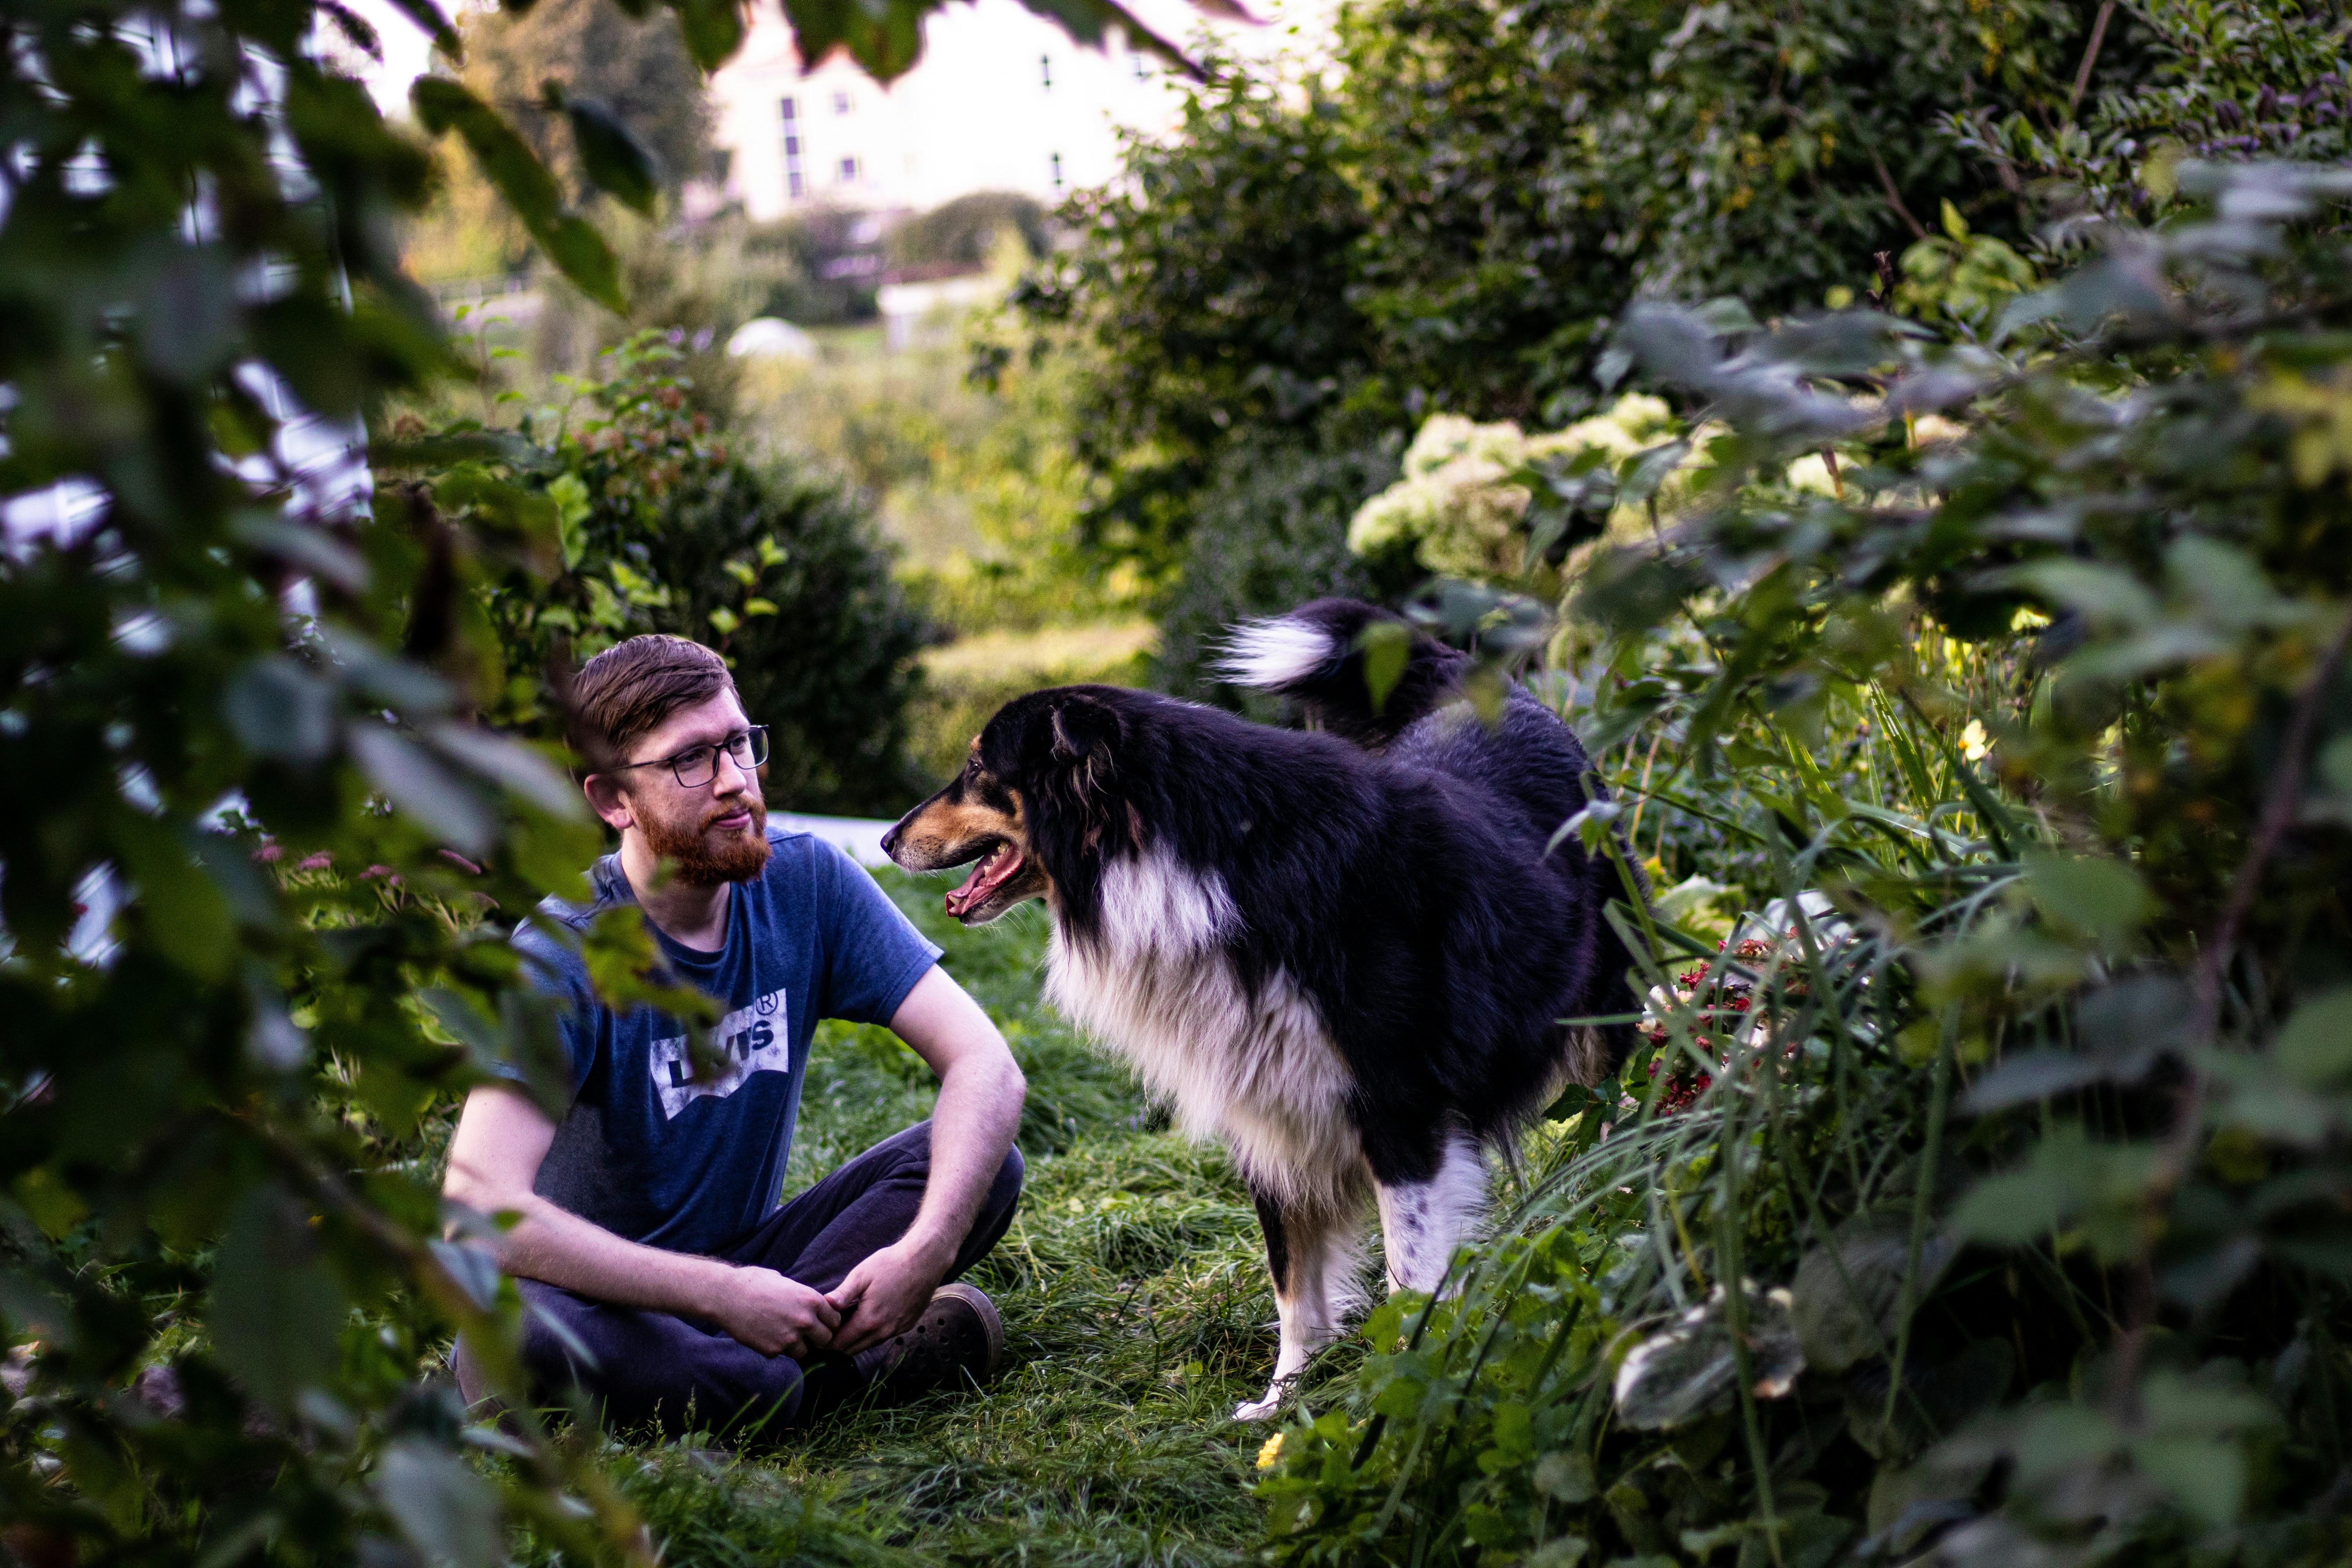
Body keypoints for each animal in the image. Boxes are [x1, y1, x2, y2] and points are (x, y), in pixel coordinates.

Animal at [884, 595, 1637, 1420]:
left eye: (978, 770)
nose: (886, 839)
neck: (1196, 864)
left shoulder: (1402, 1110)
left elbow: (1409, 1272)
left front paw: (1393, 1404)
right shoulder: (1267, 1110)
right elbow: (1293, 1282)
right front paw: (1283, 1406)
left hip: (1604, 1015)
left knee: (1616, 1105)